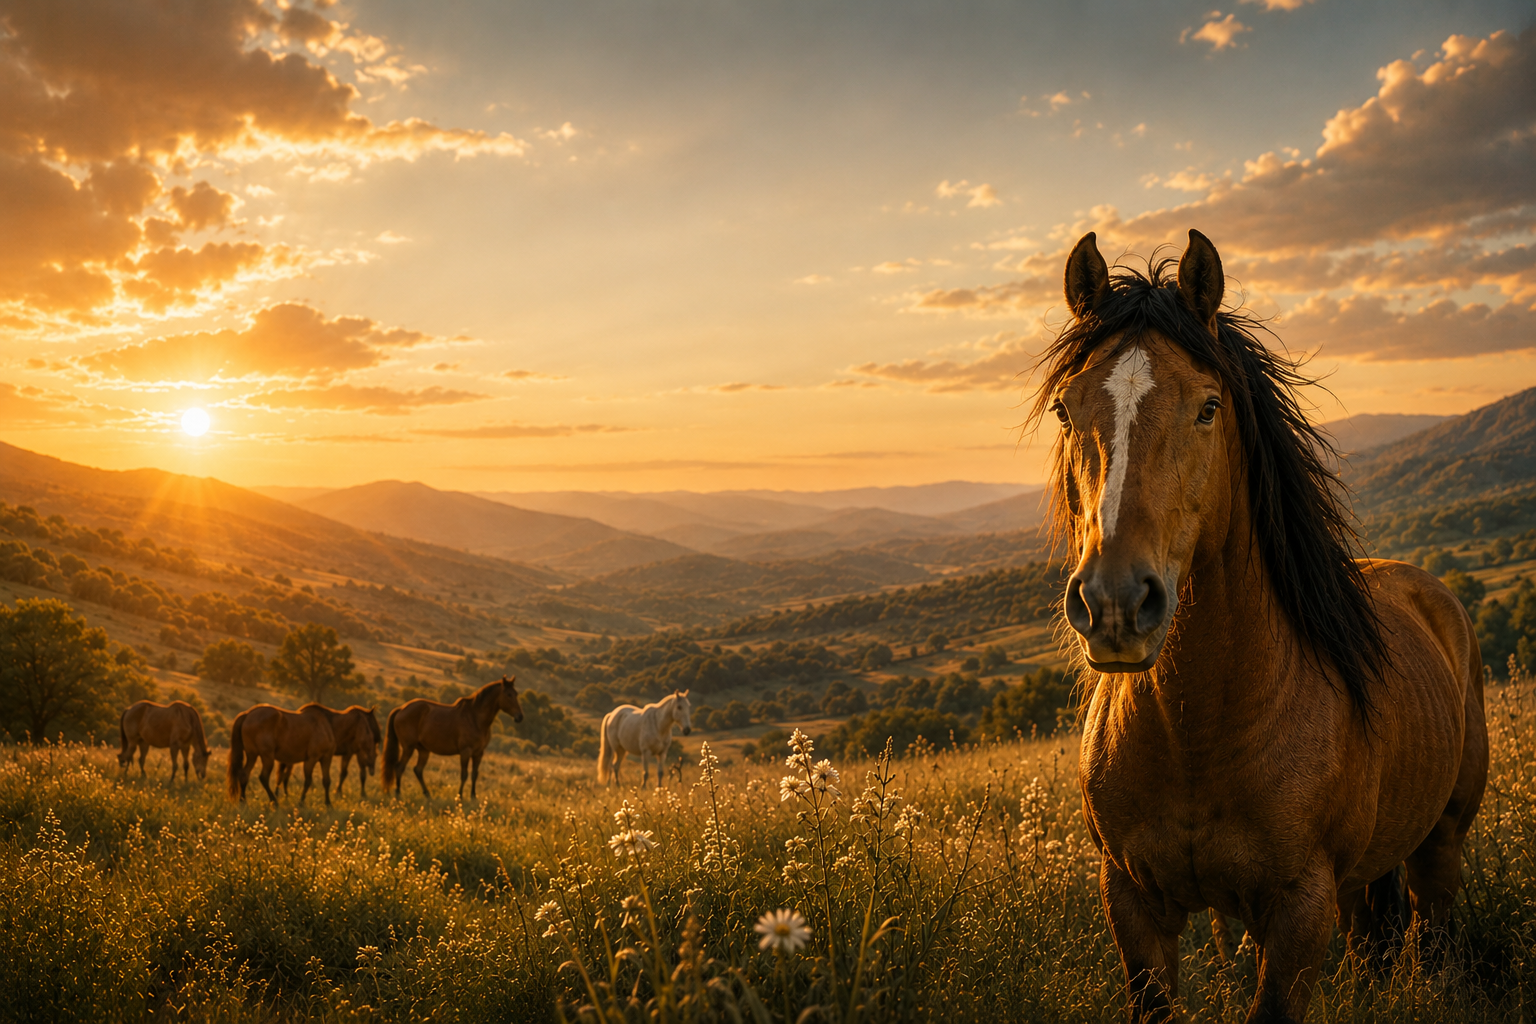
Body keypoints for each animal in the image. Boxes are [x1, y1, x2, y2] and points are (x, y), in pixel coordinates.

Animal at [382, 677, 523, 800]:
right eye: (508, 694)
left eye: (516, 693)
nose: (520, 717)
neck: (475, 718)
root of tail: (401, 709)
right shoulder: (465, 752)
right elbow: (464, 775)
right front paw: (460, 797)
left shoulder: (479, 753)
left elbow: (474, 774)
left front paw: (473, 797)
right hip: (408, 748)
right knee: (399, 767)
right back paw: (398, 794)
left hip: (423, 750)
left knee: (418, 770)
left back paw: (428, 795)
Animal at [1038, 229, 1487, 1023]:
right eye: (1066, 410)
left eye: (1208, 407)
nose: (1116, 602)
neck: (1198, 735)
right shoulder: (1132, 905)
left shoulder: (1298, 912)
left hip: (1441, 845)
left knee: (1432, 937)